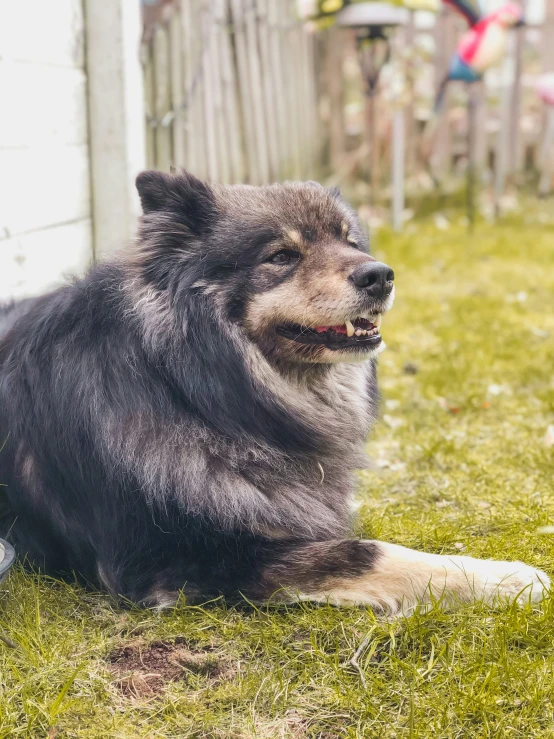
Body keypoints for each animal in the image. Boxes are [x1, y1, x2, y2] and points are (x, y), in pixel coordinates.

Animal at [0, 173, 544, 612]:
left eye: (351, 242)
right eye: (282, 256)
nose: (380, 275)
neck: (195, 395)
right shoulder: (170, 558)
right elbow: (365, 552)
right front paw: (506, 577)